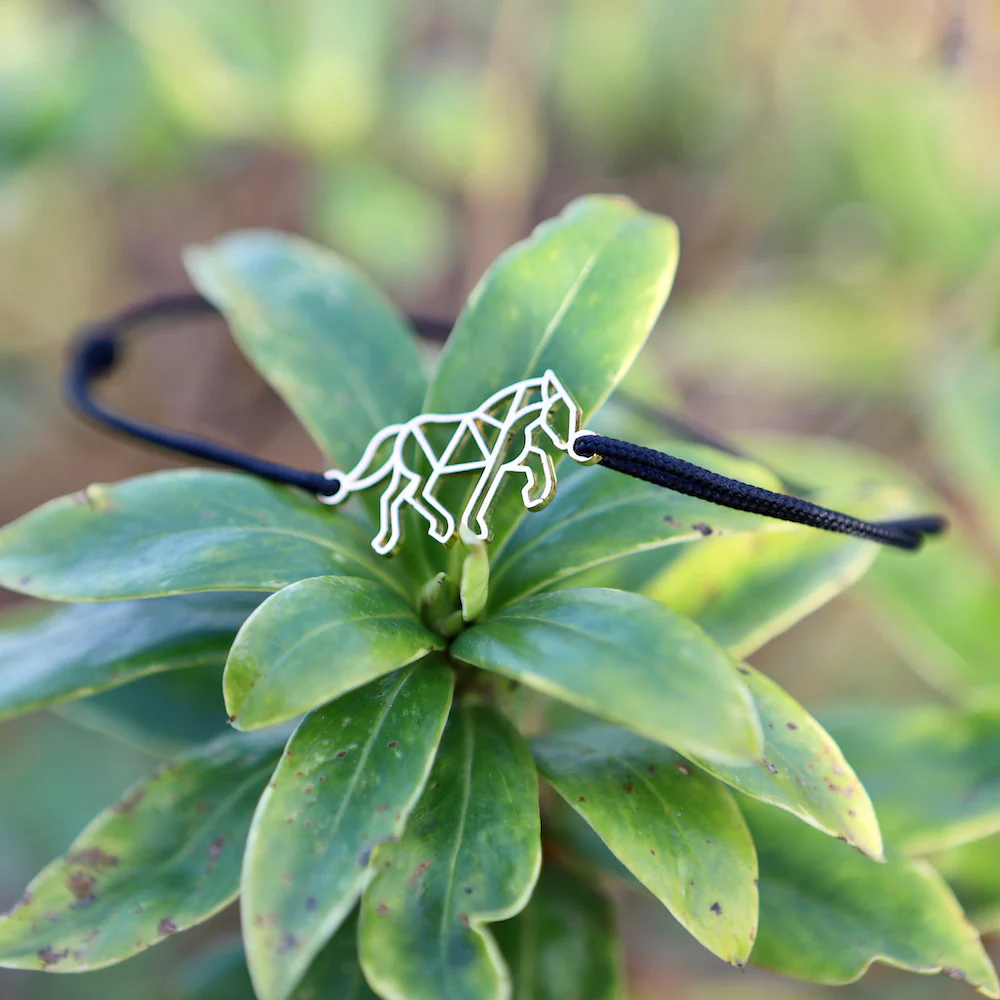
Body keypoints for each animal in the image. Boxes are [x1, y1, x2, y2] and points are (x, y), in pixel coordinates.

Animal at [319, 370, 594, 554]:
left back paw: (396, 541)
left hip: (409, 478)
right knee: (410, 498)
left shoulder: (507, 465)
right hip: (421, 476)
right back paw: (437, 531)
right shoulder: (490, 471)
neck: (507, 424)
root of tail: (402, 430)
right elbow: (480, 501)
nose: (572, 444)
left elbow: (537, 461)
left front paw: (535, 494)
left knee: (396, 500)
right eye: (556, 408)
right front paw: (477, 531)